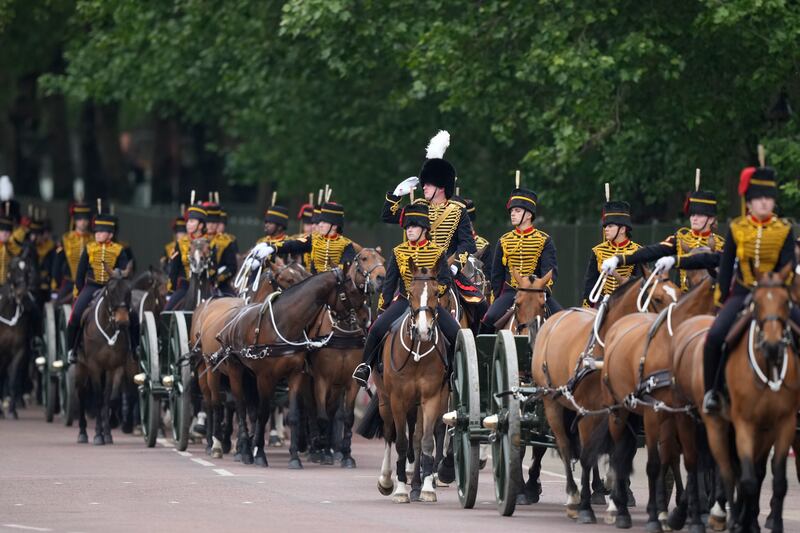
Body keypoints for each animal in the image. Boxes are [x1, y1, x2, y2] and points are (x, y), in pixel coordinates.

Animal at [74, 266, 134, 444]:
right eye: (111, 291)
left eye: (129, 291)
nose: (122, 322)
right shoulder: (94, 366)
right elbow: (99, 399)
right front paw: (98, 435)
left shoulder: (116, 366)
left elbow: (111, 399)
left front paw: (107, 432)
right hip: (81, 367)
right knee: (82, 394)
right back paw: (82, 432)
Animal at [304, 246, 386, 466]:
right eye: (363, 259)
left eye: (383, 260)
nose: (381, 277)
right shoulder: (321, 379)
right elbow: (321, 415)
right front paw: (321, 450)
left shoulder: (349, 381)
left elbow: (346, 416)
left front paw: (346, 454)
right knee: (313, 410)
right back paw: (316, 448)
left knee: (332, 410)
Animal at [376, 258, 450, 502]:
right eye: (410, 292)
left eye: (436, 292)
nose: (424, 330)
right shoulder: (397, 400)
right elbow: (400, 442)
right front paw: (400, 489)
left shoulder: (432, 398)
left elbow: (426, 440)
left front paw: (427, 487)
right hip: (385, 400)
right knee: (390, 434)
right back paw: (386, 480)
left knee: (417, 438)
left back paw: (418, 484)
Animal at [528, 270, 680, 524]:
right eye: (657, 299)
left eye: (678, 293)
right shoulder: (588, 411)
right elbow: (588, 455)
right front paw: (586, 508)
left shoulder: (623, 411)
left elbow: (619, 452)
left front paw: (615, 502)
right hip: (552, 404)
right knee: (565, 445)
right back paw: (572, 496)